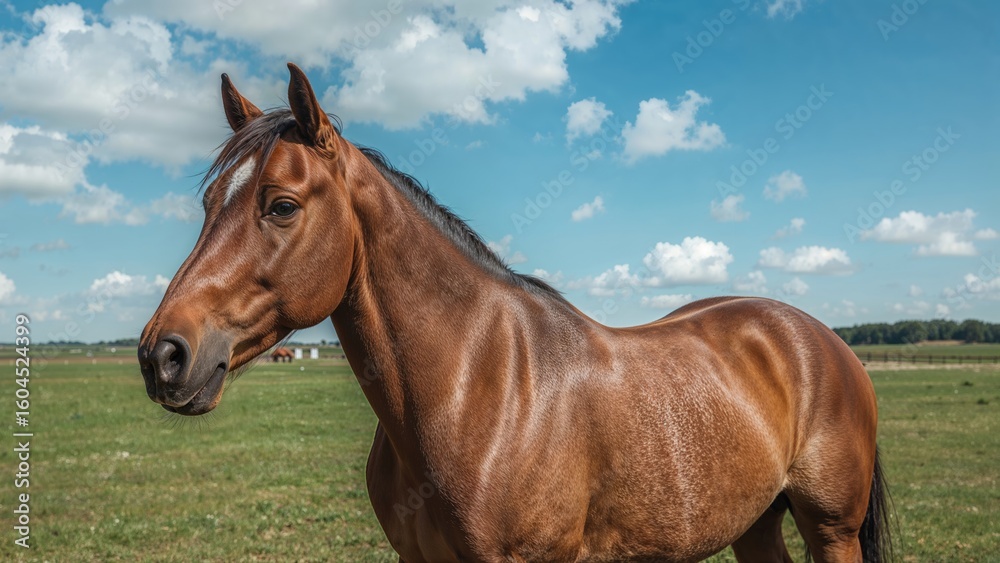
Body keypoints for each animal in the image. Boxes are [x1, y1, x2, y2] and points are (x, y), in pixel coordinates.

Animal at [138, 64, 892, 562]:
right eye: (208, 204)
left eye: (282, 205)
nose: (162, 354)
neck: (478, 389)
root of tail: (822, 340)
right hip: (754, 522)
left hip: (831, 528)